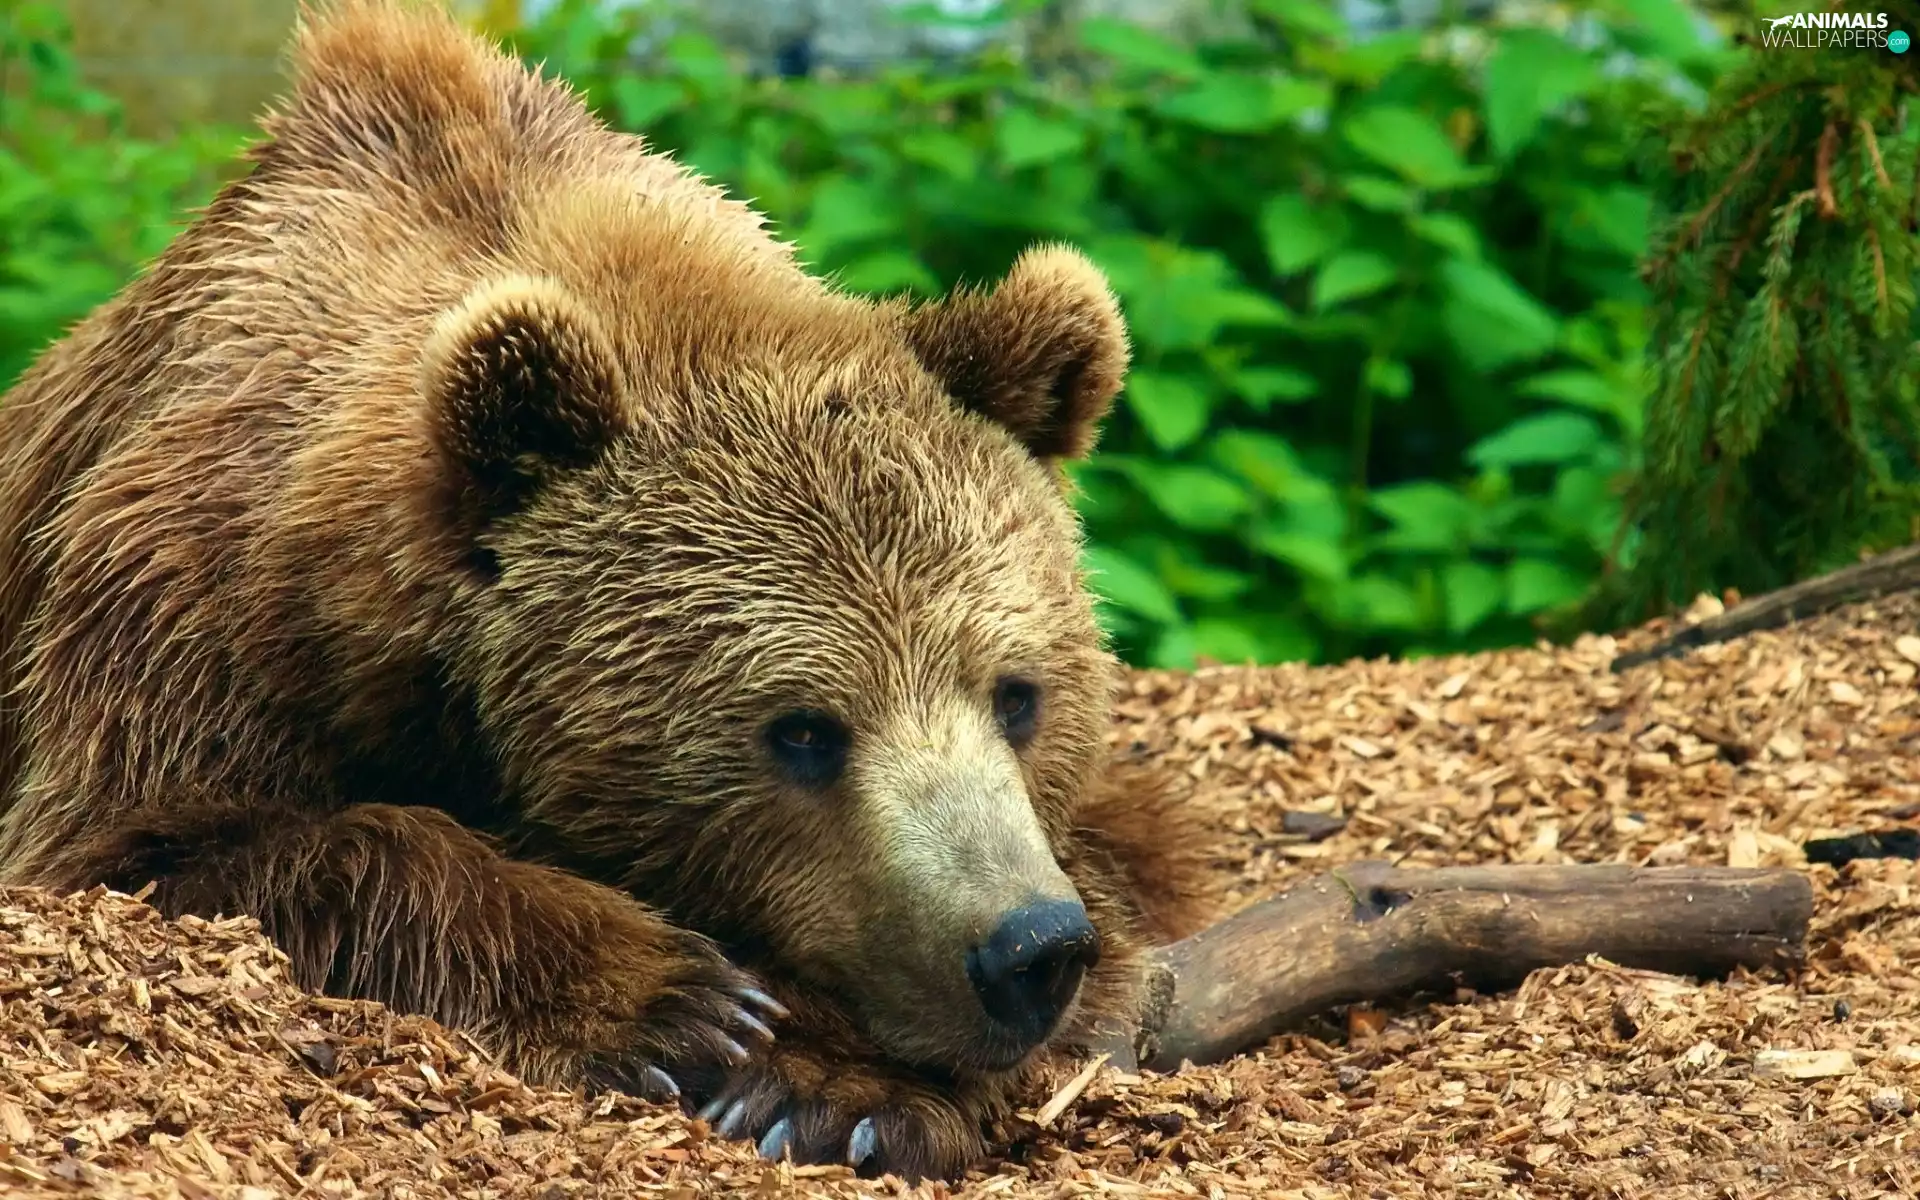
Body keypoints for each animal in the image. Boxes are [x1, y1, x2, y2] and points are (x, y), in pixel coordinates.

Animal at [0, 0, 1217, 1181]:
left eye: (1018, 695)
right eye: (803, 729)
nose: (1027, 949)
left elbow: (1125, 856)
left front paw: (840, 1091)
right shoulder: (191, 608)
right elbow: (168, 852)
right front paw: (679, 1001)